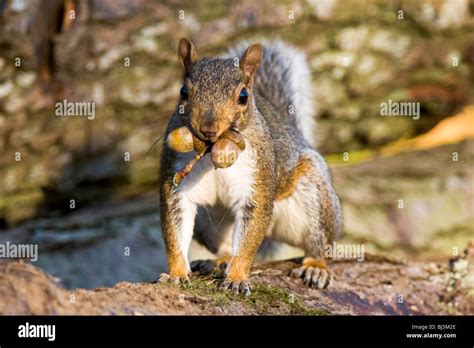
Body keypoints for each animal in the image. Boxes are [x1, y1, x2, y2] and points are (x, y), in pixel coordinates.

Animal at [158, 37, 340, 294]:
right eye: (183, 92)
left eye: (243, 96)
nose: (208, 129)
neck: (211, 152)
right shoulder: (175, 181)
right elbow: (175, 230)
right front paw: (176, 274)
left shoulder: (258, 184)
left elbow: (247, 242)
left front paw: (236, 278)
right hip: (209, 223)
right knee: (225, 246)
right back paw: (219, 261)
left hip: (315, 197)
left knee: (319, 245)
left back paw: (316, 267)